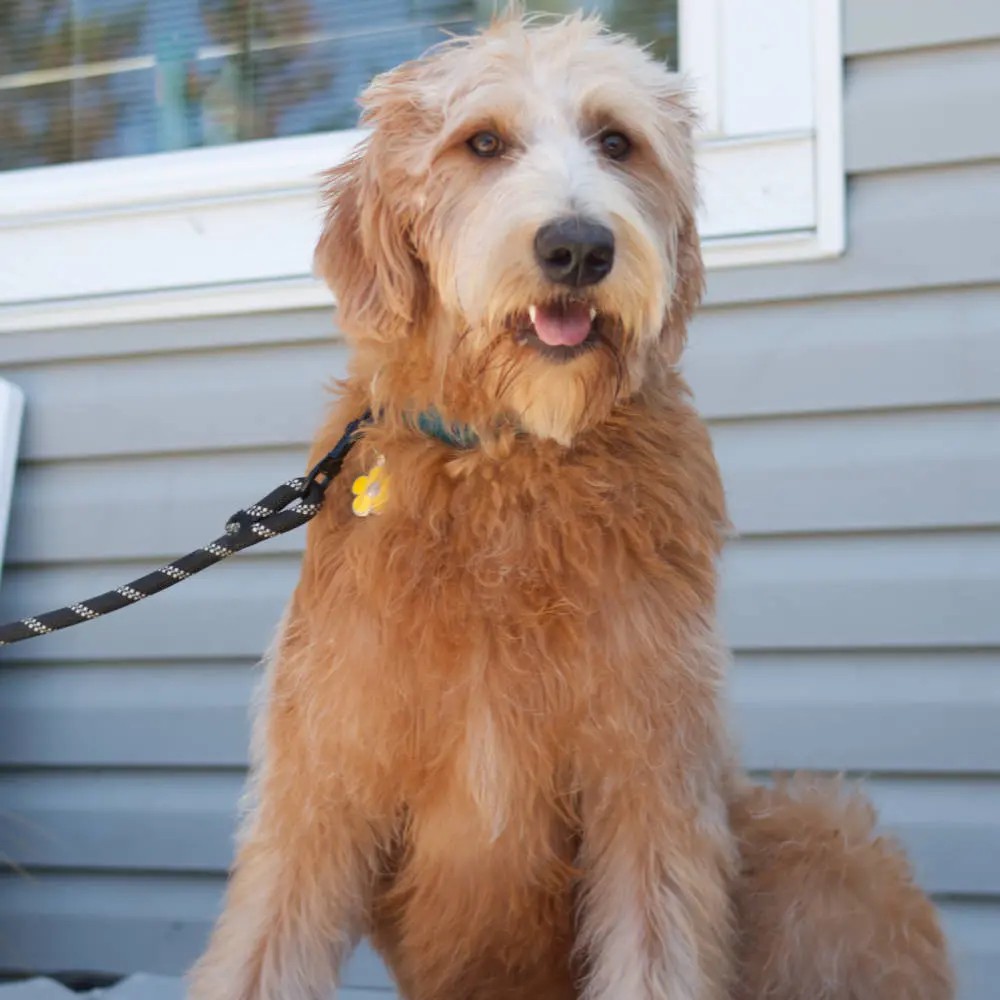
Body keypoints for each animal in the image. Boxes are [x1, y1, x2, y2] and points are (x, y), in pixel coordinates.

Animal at [188, 9, 952, 1000]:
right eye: (482, 142)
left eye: (616, 141)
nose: (580, 247)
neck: (512, 462)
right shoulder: (319, 782)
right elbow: (262, 948)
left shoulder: (652, 782)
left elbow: (657, 953)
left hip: (820, 831)